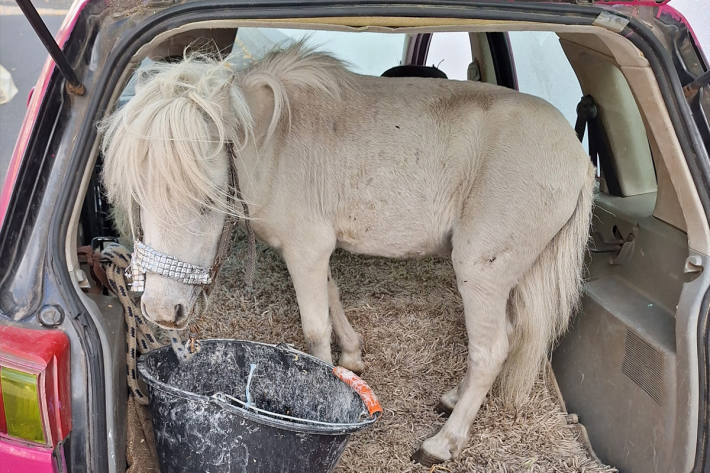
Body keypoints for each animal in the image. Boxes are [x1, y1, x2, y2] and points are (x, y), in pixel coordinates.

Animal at [100, 42, 595, 465]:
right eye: (137, 197)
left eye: (207, 201)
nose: (161, 311)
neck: (275, 143)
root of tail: (579, 159)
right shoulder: (312, 249)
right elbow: (333, 294)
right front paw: (353, 356)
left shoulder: (306, 248)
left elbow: (315, 329)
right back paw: (454, 398)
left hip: (481, 272)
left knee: (490, 350)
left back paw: (443, 442)